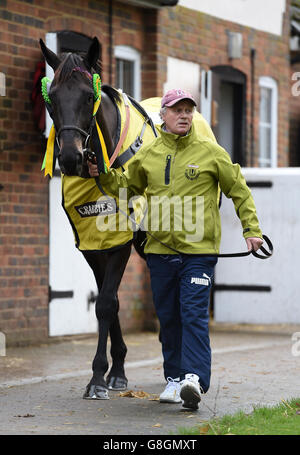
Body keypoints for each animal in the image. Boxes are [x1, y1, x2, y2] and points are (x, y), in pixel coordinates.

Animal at [39, 36, 155, 400]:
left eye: (88, 97)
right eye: (51, 98)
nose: (70, 157)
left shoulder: (121, 243)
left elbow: (104, 302)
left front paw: (98, 377)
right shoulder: (93, 244)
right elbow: (109, 300)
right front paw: (112, 372)